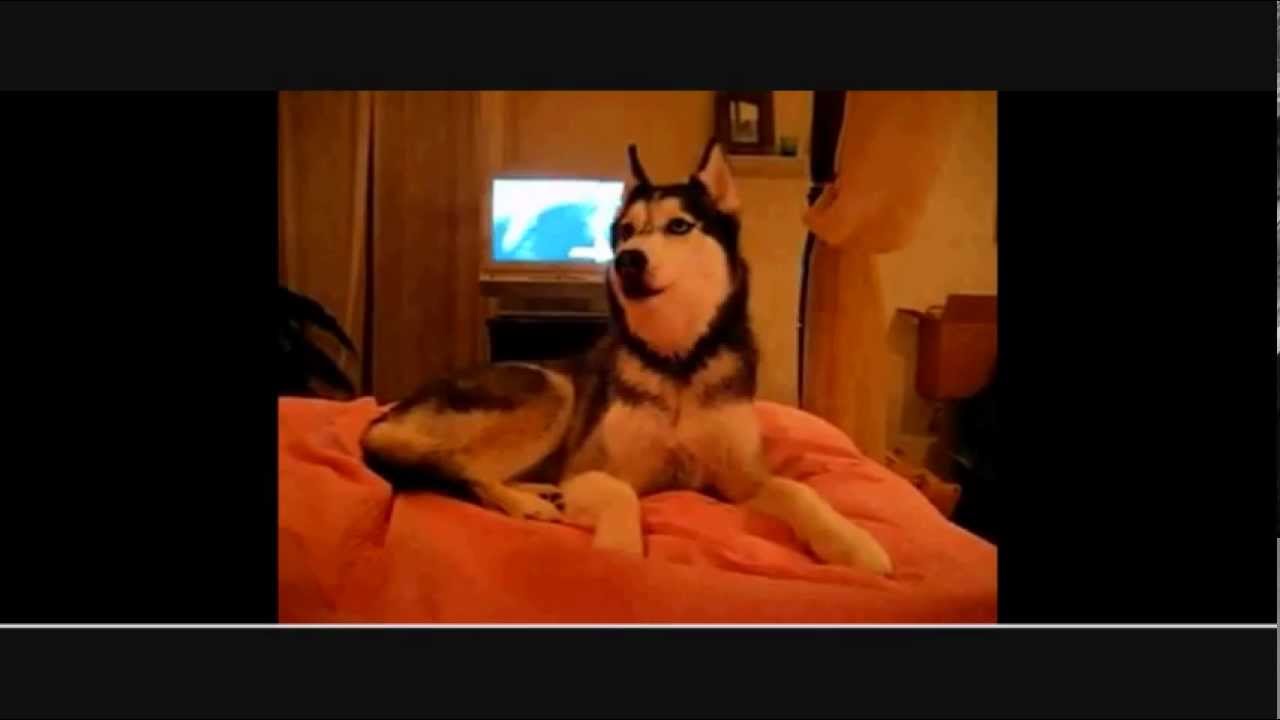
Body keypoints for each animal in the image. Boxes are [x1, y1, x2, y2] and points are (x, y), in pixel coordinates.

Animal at [360, 140, 892, 575]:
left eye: (679, 226)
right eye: (626, 231)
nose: (627, 259)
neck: (676, 361)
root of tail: (389, 415)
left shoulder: (742, 479)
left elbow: (800, 491)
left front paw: (854, 544)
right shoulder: (590, 469)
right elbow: (619, 496)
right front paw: (619, 556)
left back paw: (538, 494)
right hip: (551, 390)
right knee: (461, 464)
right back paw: (529, 504)